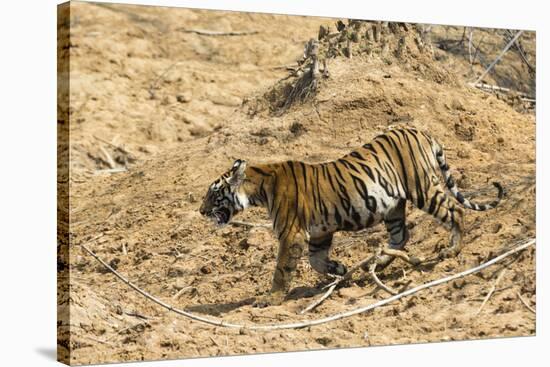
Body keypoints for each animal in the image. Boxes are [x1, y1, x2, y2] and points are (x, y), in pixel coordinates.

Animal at [198, 126, 504, 308]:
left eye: (214, 193)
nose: (201, 211)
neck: (259, 187)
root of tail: (420, 130)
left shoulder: (291, 233)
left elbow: (282, 270)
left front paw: (270, 299)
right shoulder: (319, 233)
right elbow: (316, 261)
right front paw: (340, 270)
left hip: (423, 188)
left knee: (455, 211)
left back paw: (453, 249)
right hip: (393, 207)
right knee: (401, 236)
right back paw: (378, 263)